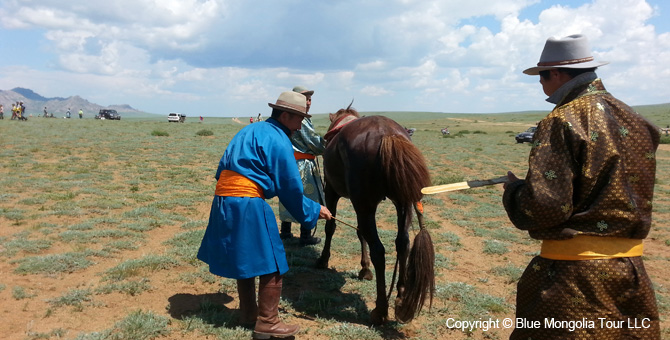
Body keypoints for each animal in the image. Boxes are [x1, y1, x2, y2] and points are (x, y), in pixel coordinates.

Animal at [318, 106, 436, 324]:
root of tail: (387, 134)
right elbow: (360, 233)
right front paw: (364, 269)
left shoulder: (331, 190)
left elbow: (331, 226)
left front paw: (323, 260)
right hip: (402, 203)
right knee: (403, 244)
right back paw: (400, 297)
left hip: (365, 205)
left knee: (379, 251)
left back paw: (380, 309)